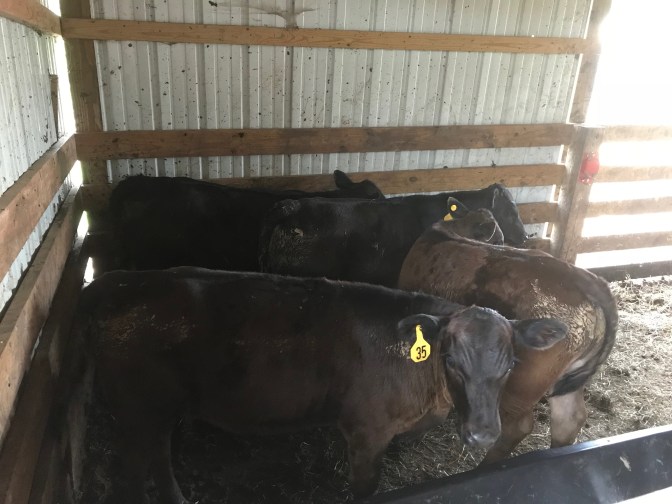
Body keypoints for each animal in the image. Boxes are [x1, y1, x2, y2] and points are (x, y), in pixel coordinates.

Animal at [74, 268, 568, 503]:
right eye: (450, 359)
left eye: (511, 363)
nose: (483, 434)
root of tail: (117, 281)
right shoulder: (366, 432)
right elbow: (366, 489)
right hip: (135, 408)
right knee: (133, 467)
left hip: (160, 407)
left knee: (159, 454)